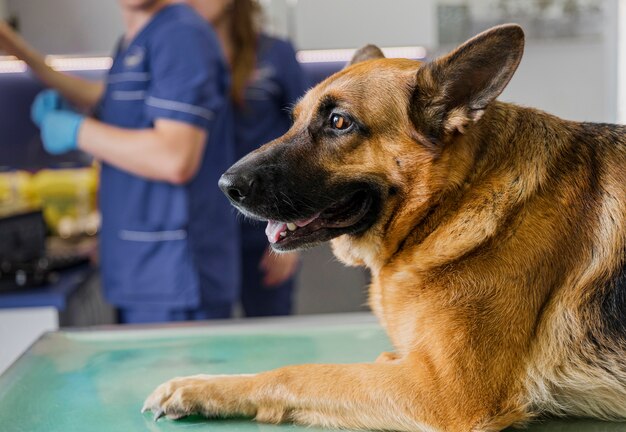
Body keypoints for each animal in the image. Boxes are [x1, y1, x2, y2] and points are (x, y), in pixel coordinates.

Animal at [143, 24, 624, 432]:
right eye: (294, 119)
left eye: (339, 122)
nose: (225, 186)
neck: (452, 201)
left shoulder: (444, 393)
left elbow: (299, 373)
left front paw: (204, 387)